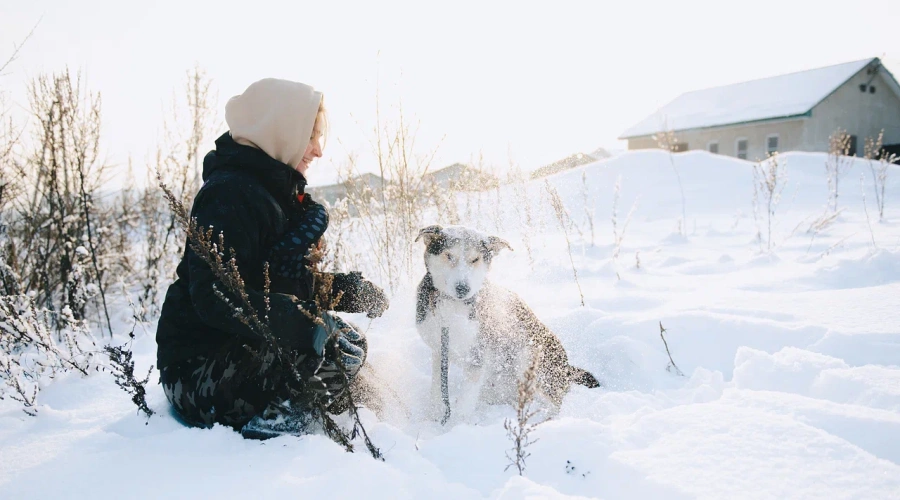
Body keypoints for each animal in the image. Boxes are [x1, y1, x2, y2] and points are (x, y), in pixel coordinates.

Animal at [414, 224, 599, 420]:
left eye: (475, 259)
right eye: (449, 256)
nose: (463, 288)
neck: (453, 304)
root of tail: (566, 368)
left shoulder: (477, 356)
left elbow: (465, 402)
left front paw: (457, 425)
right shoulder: (439, 348)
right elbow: (437, 386)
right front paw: (436, 413)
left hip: (528, 357)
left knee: (554, 405)